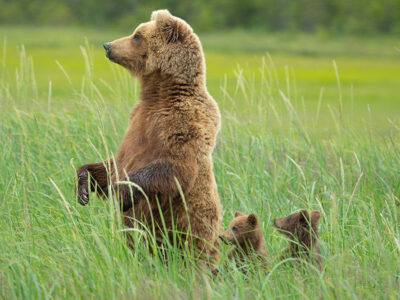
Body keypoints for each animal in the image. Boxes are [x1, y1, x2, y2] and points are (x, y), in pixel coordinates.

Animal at [76, 9, 222, 268]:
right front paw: (84, 185)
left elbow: (175, 167)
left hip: (187, 227)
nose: (107, 45)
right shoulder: (136, 121)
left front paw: (122, 193)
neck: (160, 92)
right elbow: (114, 163)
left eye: (136, 35)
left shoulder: (182, 122)